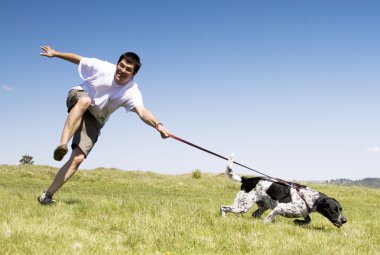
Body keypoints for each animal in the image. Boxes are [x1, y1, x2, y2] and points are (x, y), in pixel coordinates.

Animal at [220, 155, 348, 227]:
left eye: (341, 209)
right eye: (334, 210)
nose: (344, 220)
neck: (306, 197)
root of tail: (246, 179)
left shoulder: (303, 212)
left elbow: (308, 220)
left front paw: (297, 222)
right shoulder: (280, 207)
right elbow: (269, 218)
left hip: (262, 206)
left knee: (254, 214)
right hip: (243, 206)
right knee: (223, 207)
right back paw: (224, 218)